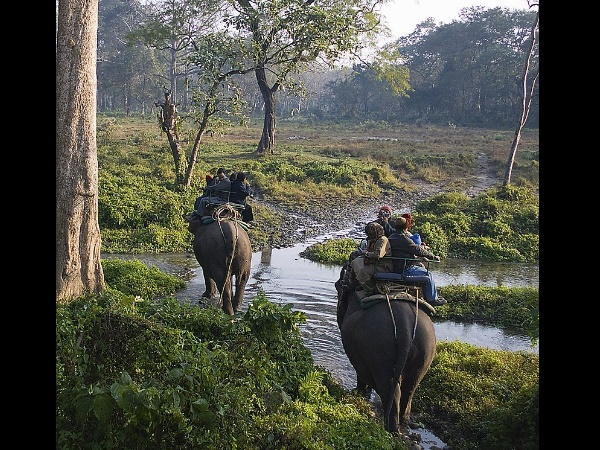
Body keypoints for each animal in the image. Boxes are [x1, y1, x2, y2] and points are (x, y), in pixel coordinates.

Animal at [332, 272, 436, 434]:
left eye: (337, 286)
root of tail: (405, 326)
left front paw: (359, 393)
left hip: (379, 350)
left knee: (390, 389)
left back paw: (390, 430)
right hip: (425, 351)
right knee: (409, 389)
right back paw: (402, 423)